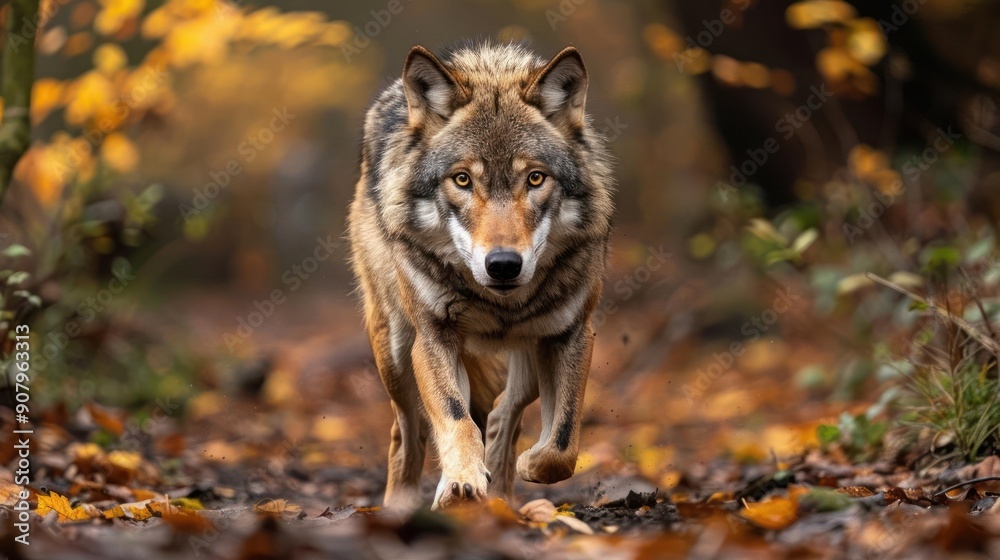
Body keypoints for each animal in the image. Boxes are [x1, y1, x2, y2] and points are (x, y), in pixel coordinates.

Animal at [347, 42, 614, 509]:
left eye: (535, 178)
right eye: (462, 179)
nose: (504, 264)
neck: (499, 305)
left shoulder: (573, 334)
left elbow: (562, 444)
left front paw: (528, 465)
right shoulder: (433, 339)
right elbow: (455, 418)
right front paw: (461, 483)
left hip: (531, 349)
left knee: (506, 411)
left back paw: (503, 494)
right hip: (395, 353)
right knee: (409, 429)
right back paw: (401, 504)